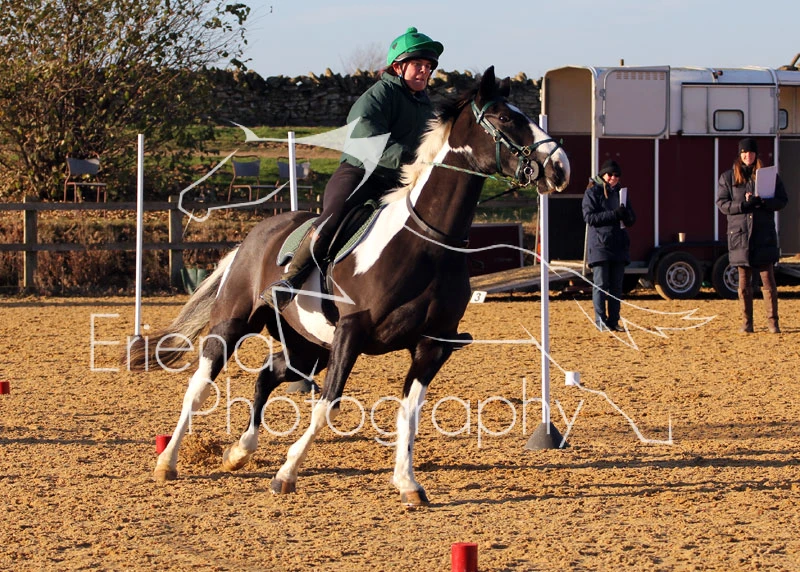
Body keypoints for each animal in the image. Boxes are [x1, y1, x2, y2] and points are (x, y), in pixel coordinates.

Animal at [126, 66, 570, 506]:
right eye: (505, 117)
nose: (560, 167)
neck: (428, 241)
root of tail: (250, 239)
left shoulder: (430, 345)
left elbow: (409, 413)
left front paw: (407, 483)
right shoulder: (351, 333)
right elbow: (328, 406)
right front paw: (286, 474)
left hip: (307, 349)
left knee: (268, 375)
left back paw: (240, 451)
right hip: (235, 326)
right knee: (199, 387)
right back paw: (167, 462)